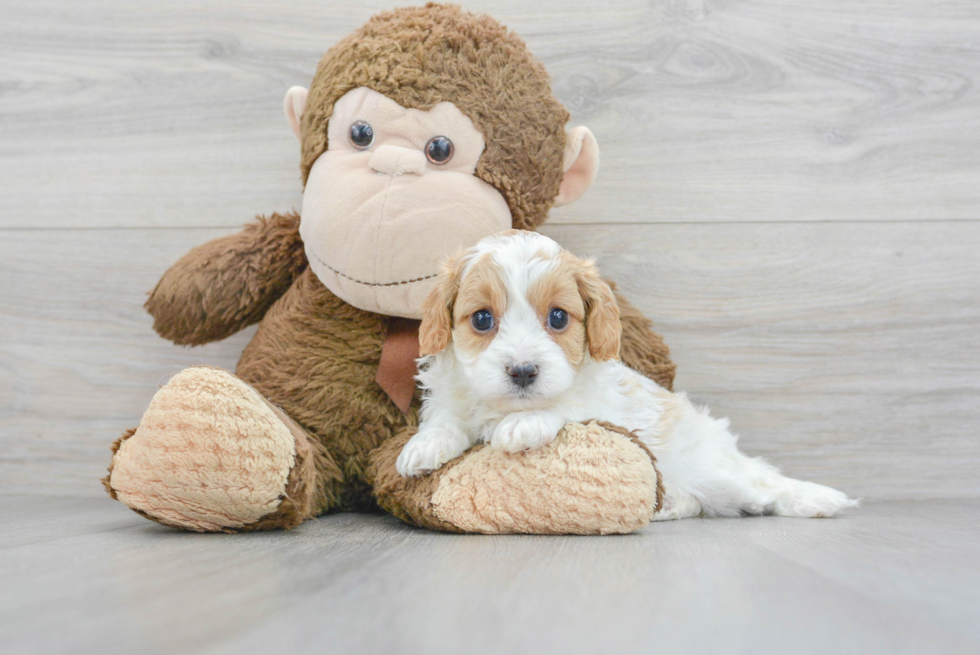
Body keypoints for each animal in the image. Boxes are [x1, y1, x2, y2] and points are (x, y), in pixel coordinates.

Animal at [398, 231, 856, 524]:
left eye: (558, 317)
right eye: (482, 319)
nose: (524, 372)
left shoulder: (603, 405)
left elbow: (569, 406)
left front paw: (524, 423)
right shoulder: (451, 395)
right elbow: (446, 419)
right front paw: (424, 446)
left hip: (721, 474)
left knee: (763, 486)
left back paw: (815, 499)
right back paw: (669, 504)